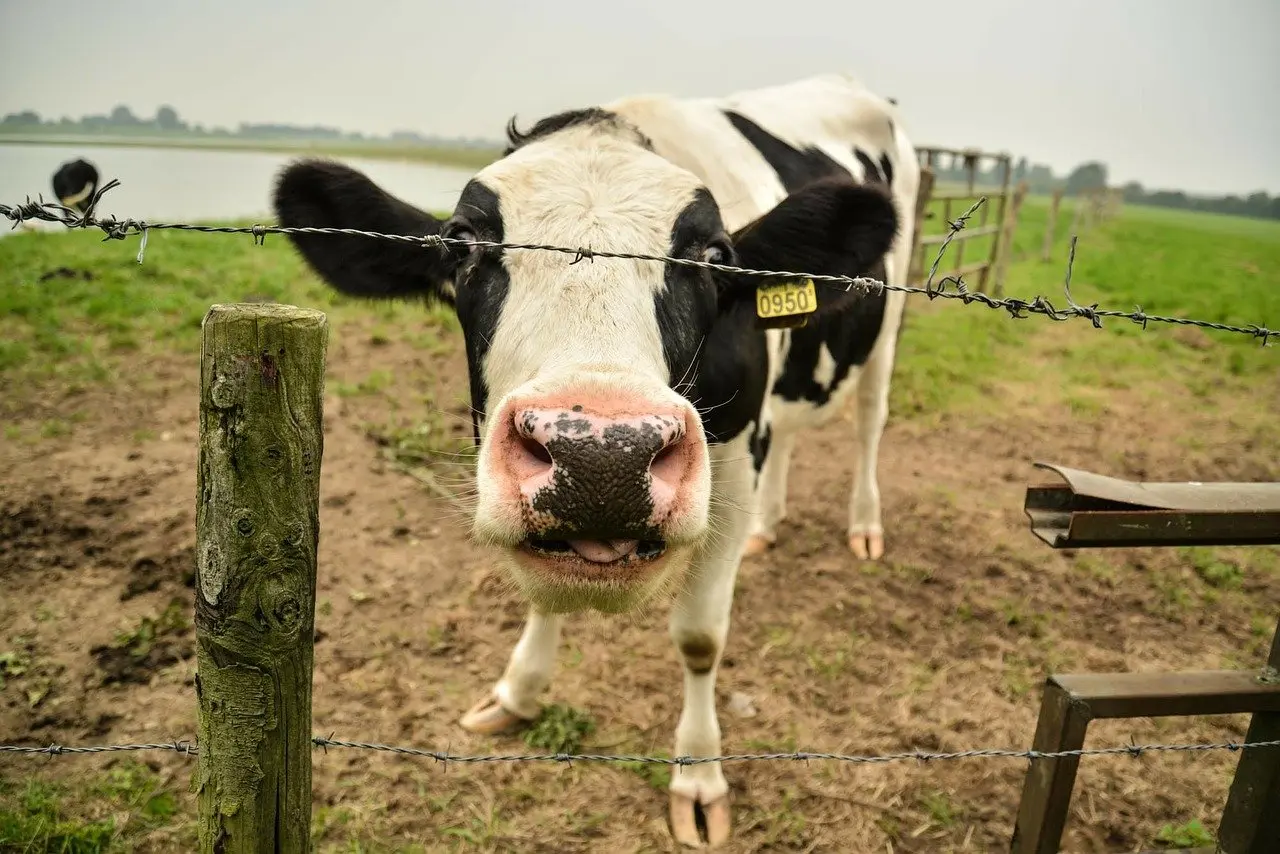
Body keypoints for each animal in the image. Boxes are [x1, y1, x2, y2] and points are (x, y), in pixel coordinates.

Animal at [272, 72, 918, 848]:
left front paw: (699, 776)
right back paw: (770, 526)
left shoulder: (732, 467)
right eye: (461, 244)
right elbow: (542, 591)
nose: (601, 457)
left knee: (870, 420)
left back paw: (865, 526)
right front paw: (518, 690)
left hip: (888, 327)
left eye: (716, 256)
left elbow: (700, 638)